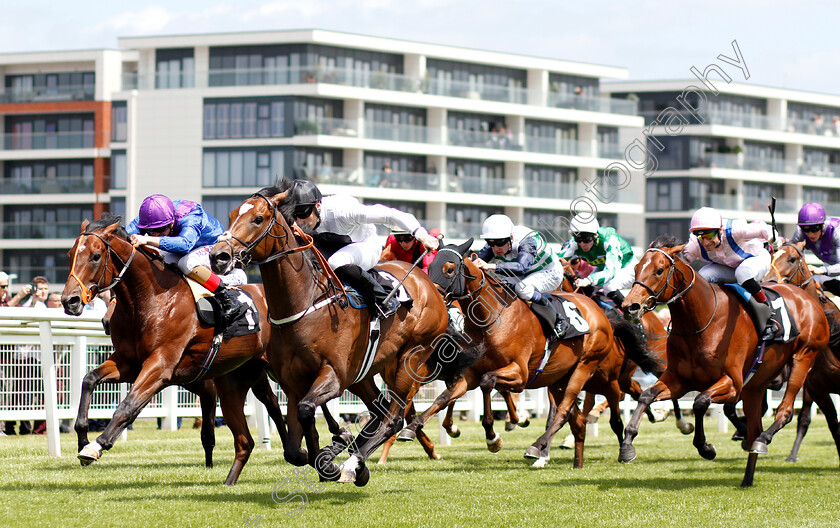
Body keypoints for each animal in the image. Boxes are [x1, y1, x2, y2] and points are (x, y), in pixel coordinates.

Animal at [61, 213, 318, 482]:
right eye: (70, 255)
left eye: (95, 256)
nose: (70, 300)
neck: (150, 299)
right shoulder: (128, 364)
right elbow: (89, 379)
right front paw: (82, 437)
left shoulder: (160, 365)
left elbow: (128, 406)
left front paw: (96, 445)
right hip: (251, 370)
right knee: (272, 403)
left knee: (279, 402)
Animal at [207, 182, 450, 486]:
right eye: (230, 216)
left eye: (258, 218)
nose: (218, 256)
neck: (306, 304)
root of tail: (427, 282)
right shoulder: (294, 383)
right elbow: (293, 447)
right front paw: (327, 450)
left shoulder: (333, 375)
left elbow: (307, 411)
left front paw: (332, 456)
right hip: (363, 373)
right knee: (379, 409)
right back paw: (354, 459)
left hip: (410, 358)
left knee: (393, 418)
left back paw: (352, 463)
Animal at [396, 237, 624, 468]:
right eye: (429, 267)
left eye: (449, 269)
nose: (430, 299)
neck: (491, 318)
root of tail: (596, 310)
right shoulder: (469, 373)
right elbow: (444, 397)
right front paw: (411, 428)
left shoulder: (520, 374)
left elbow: (487, 382)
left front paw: (492, 436)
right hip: (559, 378)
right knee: (576, 420)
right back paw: (576, 462)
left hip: (585, 366)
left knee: (564, 411)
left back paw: (536, 447)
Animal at [620, 236, 832, 486]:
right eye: (636, 268)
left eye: (659, 270)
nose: (629, 307)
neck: (702, 321)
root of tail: (808, 299)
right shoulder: (678, 380)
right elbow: (646, 395)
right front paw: (627, 445)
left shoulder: (732, 383)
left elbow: (700, 402)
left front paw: (706, 448)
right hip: (756, 385)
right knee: (755, 425)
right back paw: (747, 476)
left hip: (804, 356)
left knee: (785, 412)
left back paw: (762, 440)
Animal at [764, 241, 840, 464]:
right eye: (771, 256)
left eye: (792, 259)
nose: (769, 281)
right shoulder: (817, 389)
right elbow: (834, 428)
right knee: (805, 418)